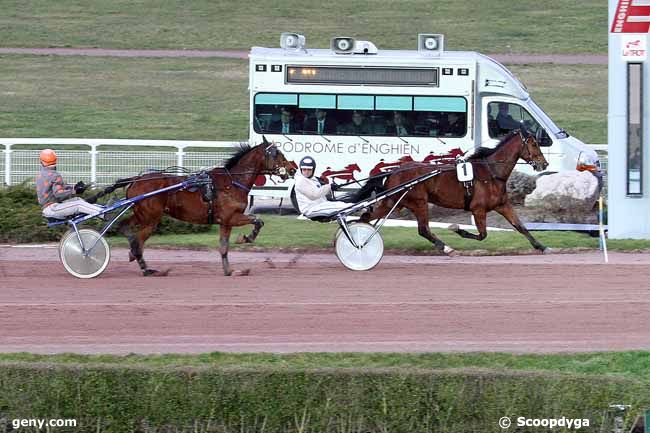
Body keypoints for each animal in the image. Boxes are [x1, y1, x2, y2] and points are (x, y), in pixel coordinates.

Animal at [109, 138, 296, 276]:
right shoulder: (232, 217)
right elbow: (258, 220)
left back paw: (134, 254)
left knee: (125, 227)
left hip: (141, 214)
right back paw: (146, 268)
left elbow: (224, 246)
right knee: (138, 241)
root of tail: (135, 180)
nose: (292, 169)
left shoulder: (225, 222)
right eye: (278, 154)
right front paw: (245, 238)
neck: (232, 182)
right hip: (151, 219)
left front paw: (229, 270)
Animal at [356, 130, 548, 255]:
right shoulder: (478, 209)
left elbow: (520, 226)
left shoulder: (502, 205)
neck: (491, 172)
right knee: (423, 230)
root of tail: (394, 171)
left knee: (365, 218)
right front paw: (456, 228)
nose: (544, 163)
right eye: (533, 143)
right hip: (419, 202)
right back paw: (446, 247)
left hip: (394, 202)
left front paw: (542, 246)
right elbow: (482, 235)